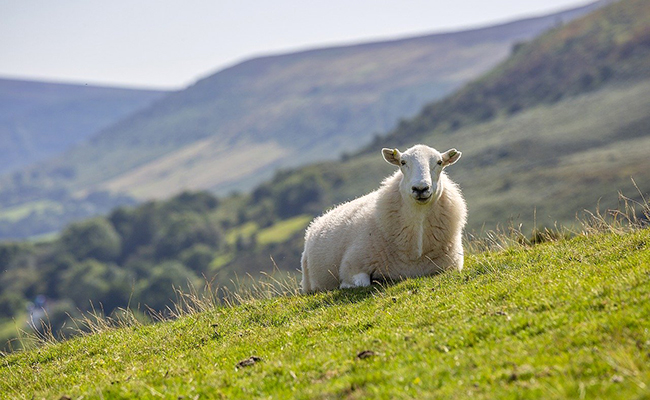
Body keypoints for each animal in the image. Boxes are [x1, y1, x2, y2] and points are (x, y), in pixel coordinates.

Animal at [298, 143, 466, 290]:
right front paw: (346, 285)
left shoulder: (451, 266)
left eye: (439, 162)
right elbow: (361, 283)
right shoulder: (351, 266)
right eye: (402, 162)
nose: (420, 188)